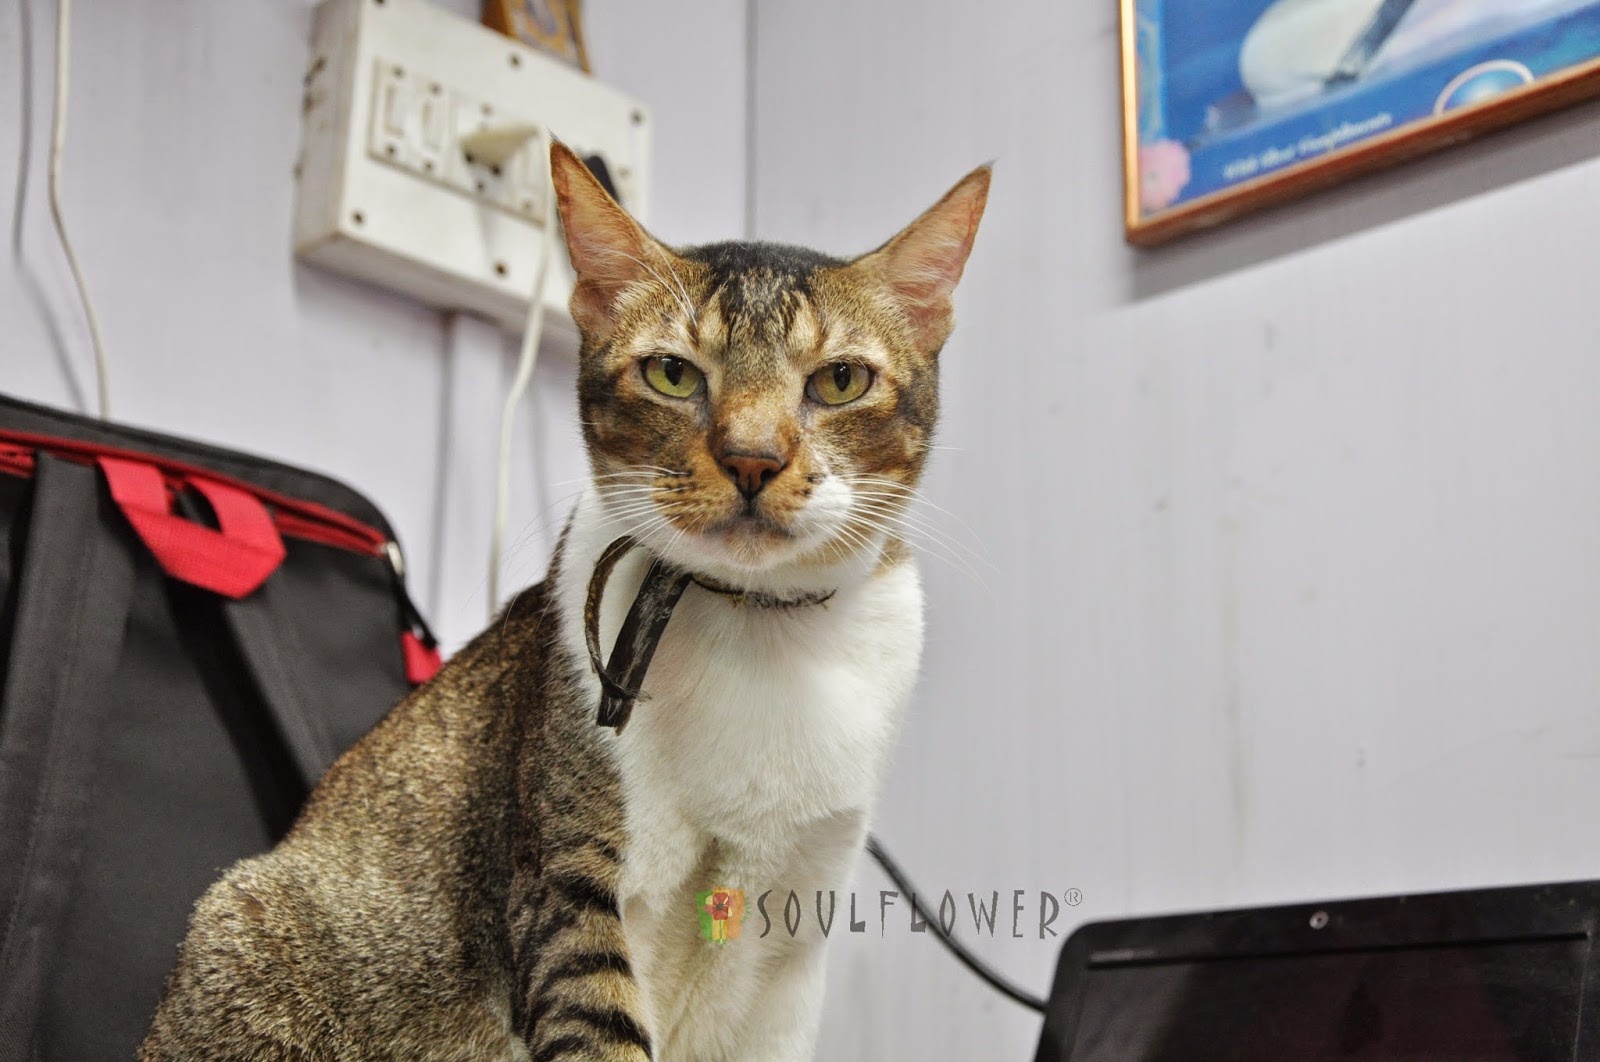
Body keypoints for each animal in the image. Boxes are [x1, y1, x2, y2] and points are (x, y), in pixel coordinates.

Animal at [139, 141, 988, 1062]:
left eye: (838, 382)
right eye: (672, 373)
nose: (752, 458)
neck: (752, 624)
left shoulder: (796, 933)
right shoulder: (567, 882)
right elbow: (599, 1021)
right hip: (248, 925)